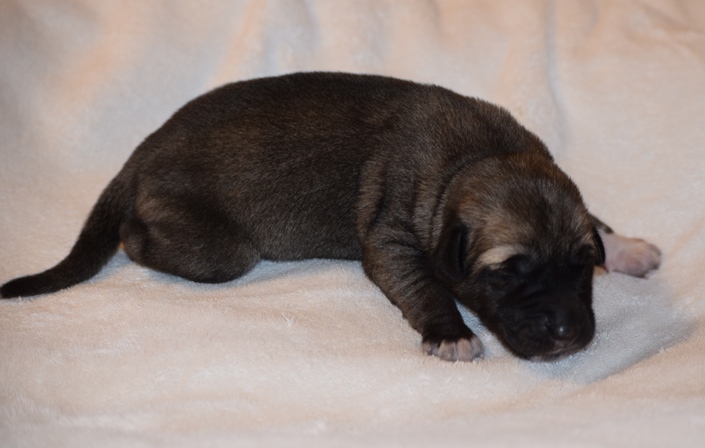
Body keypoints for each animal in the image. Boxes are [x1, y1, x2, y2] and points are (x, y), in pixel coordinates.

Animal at [0, 72, 661, 362]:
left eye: (581, 267)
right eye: (506, 271)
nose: (569, 334)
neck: (477, 155)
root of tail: (141, 150)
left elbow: (593, 217)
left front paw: (625, 246)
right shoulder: (391, 237)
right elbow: (423, 285)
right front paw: (449, 332)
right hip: (217, 250)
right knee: (139, 239)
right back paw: (130, 234)